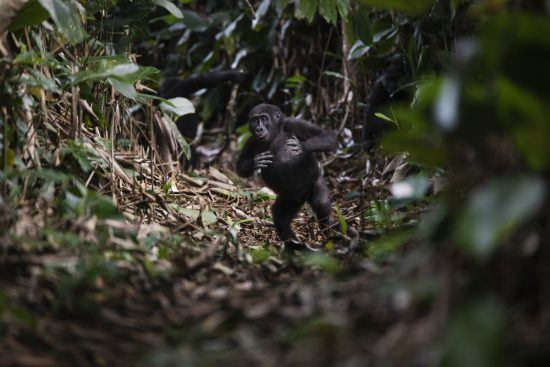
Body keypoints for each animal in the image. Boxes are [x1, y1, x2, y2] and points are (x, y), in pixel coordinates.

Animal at [238, 105, 338, 246]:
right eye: (254, 120)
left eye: (264, 118)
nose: (259, 128)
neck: (274, 135)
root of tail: (302, 198)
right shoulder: (251, 142)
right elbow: (240, 167)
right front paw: (255, 162)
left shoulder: (293, 124)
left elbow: (328, 137)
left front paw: (302, 146)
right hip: (289, 199)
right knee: (281, 219)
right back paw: (292, 242)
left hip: (313, 183)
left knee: (321, 202)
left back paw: (327, 228)